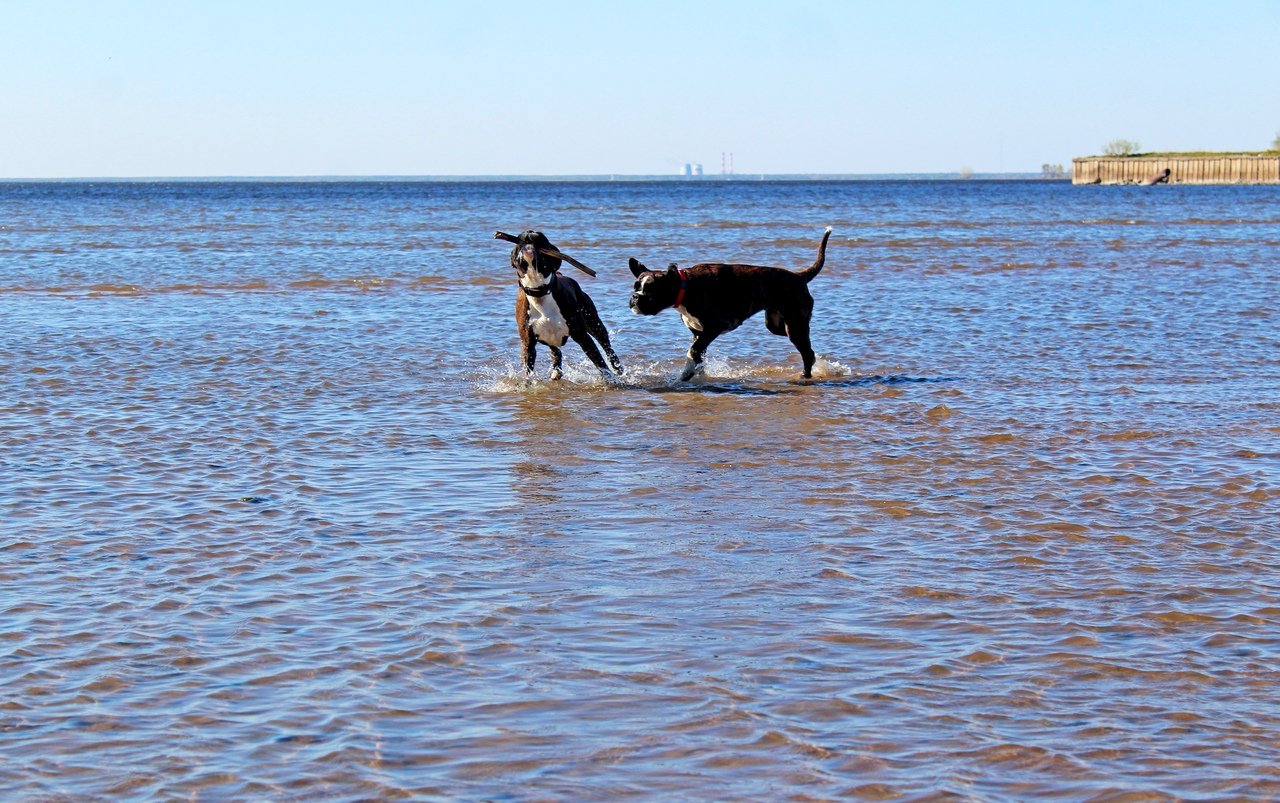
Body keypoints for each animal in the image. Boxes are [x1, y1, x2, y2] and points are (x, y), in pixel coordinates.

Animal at [510, 230, 623, 380]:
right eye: (519, 239)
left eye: (540, 237)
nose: (529, 233)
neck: (539, 290)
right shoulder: (528, 344)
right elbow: (527, 372)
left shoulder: (582, 337)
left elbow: (600, 363)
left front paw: (611, 380)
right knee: (556, 351)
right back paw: (556, 372)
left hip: (595, 324)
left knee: (607, 347)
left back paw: (617, 367)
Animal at [628, 227, 832, 380]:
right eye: (636, 286)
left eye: (651, 291)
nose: (635, 297)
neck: (686, 286)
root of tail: (799, 276)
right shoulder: (699, 334)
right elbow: (698, 354)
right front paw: (696, 372)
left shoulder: (714, 327)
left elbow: (693, 351)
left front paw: (686, 374)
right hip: (778, 326)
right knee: (809, 349)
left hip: (795, 325)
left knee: (807, 353)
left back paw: (806, 375)